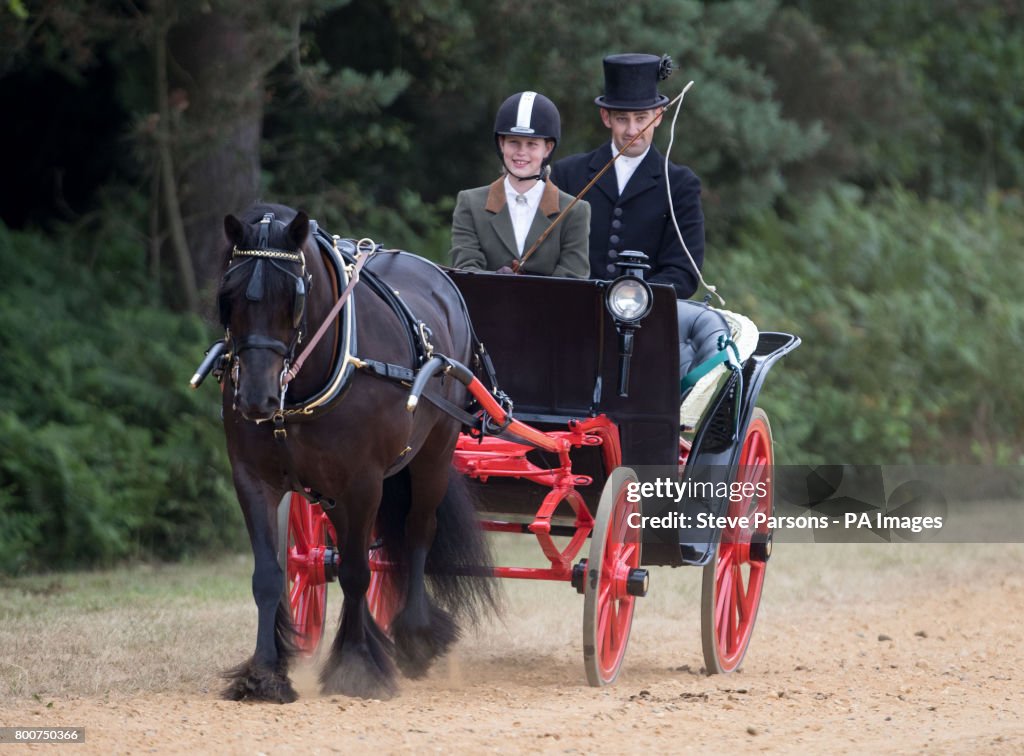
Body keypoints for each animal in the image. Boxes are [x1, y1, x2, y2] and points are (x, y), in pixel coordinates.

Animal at [216, 201, 495, 700]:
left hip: (434, 454)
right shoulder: (252, 478)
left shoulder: (363, 481)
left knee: (416, 532)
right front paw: (264, 672)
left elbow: (356, 572)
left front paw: (358, 666)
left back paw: (416, 636)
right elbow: (269, 577)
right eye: (228, 296)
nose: (256, 399)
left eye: (293, 297)